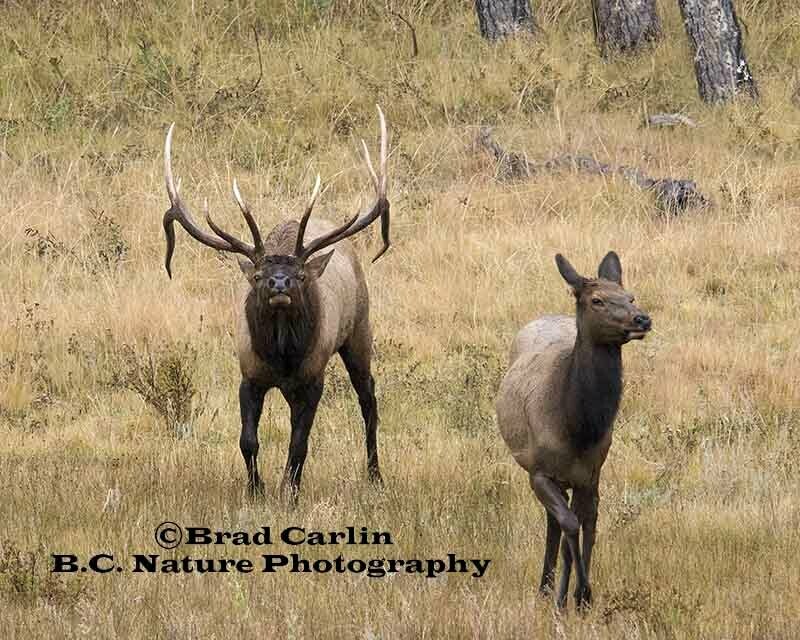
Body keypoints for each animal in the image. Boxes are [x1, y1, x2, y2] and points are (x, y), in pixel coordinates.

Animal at [160, 107, 391, 501]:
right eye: (257, 275)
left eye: (300, 275)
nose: (279, 283)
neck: (283, 356)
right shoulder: (249, 374)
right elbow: (247, 441)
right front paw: (257, 489)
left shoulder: (313, 378)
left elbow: (299, 444)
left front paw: (290, 492)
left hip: (360, 330)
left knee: (369, 399)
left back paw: (375, 474)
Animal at [495, 251, 651, 610]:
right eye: (597, 299)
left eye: (630, 295)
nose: (642, 319)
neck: (576, 427)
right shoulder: (538, 471)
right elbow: (569, 524)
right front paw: (570, 596)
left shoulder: (590, 473)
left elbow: (587, 525)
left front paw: (580, 596)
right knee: (557, 522)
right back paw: (546, 587)